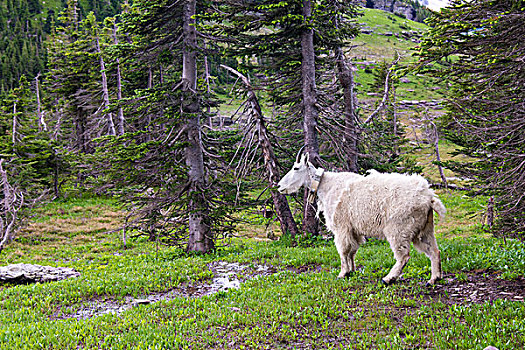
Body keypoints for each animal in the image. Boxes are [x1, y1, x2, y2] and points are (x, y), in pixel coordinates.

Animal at [276, 153, 444, 284]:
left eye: (296, 168)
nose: (279, 186)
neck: (326, 186)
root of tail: (428, 197)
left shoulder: (341, 227)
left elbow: (343, 250)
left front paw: (342, 273)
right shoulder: (353, 230)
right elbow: (352, 250)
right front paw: (352, 271)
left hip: (398, 229)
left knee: (403, 256)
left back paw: (388, 278)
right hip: (424, 228)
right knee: (434, 251)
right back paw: (433, 279)